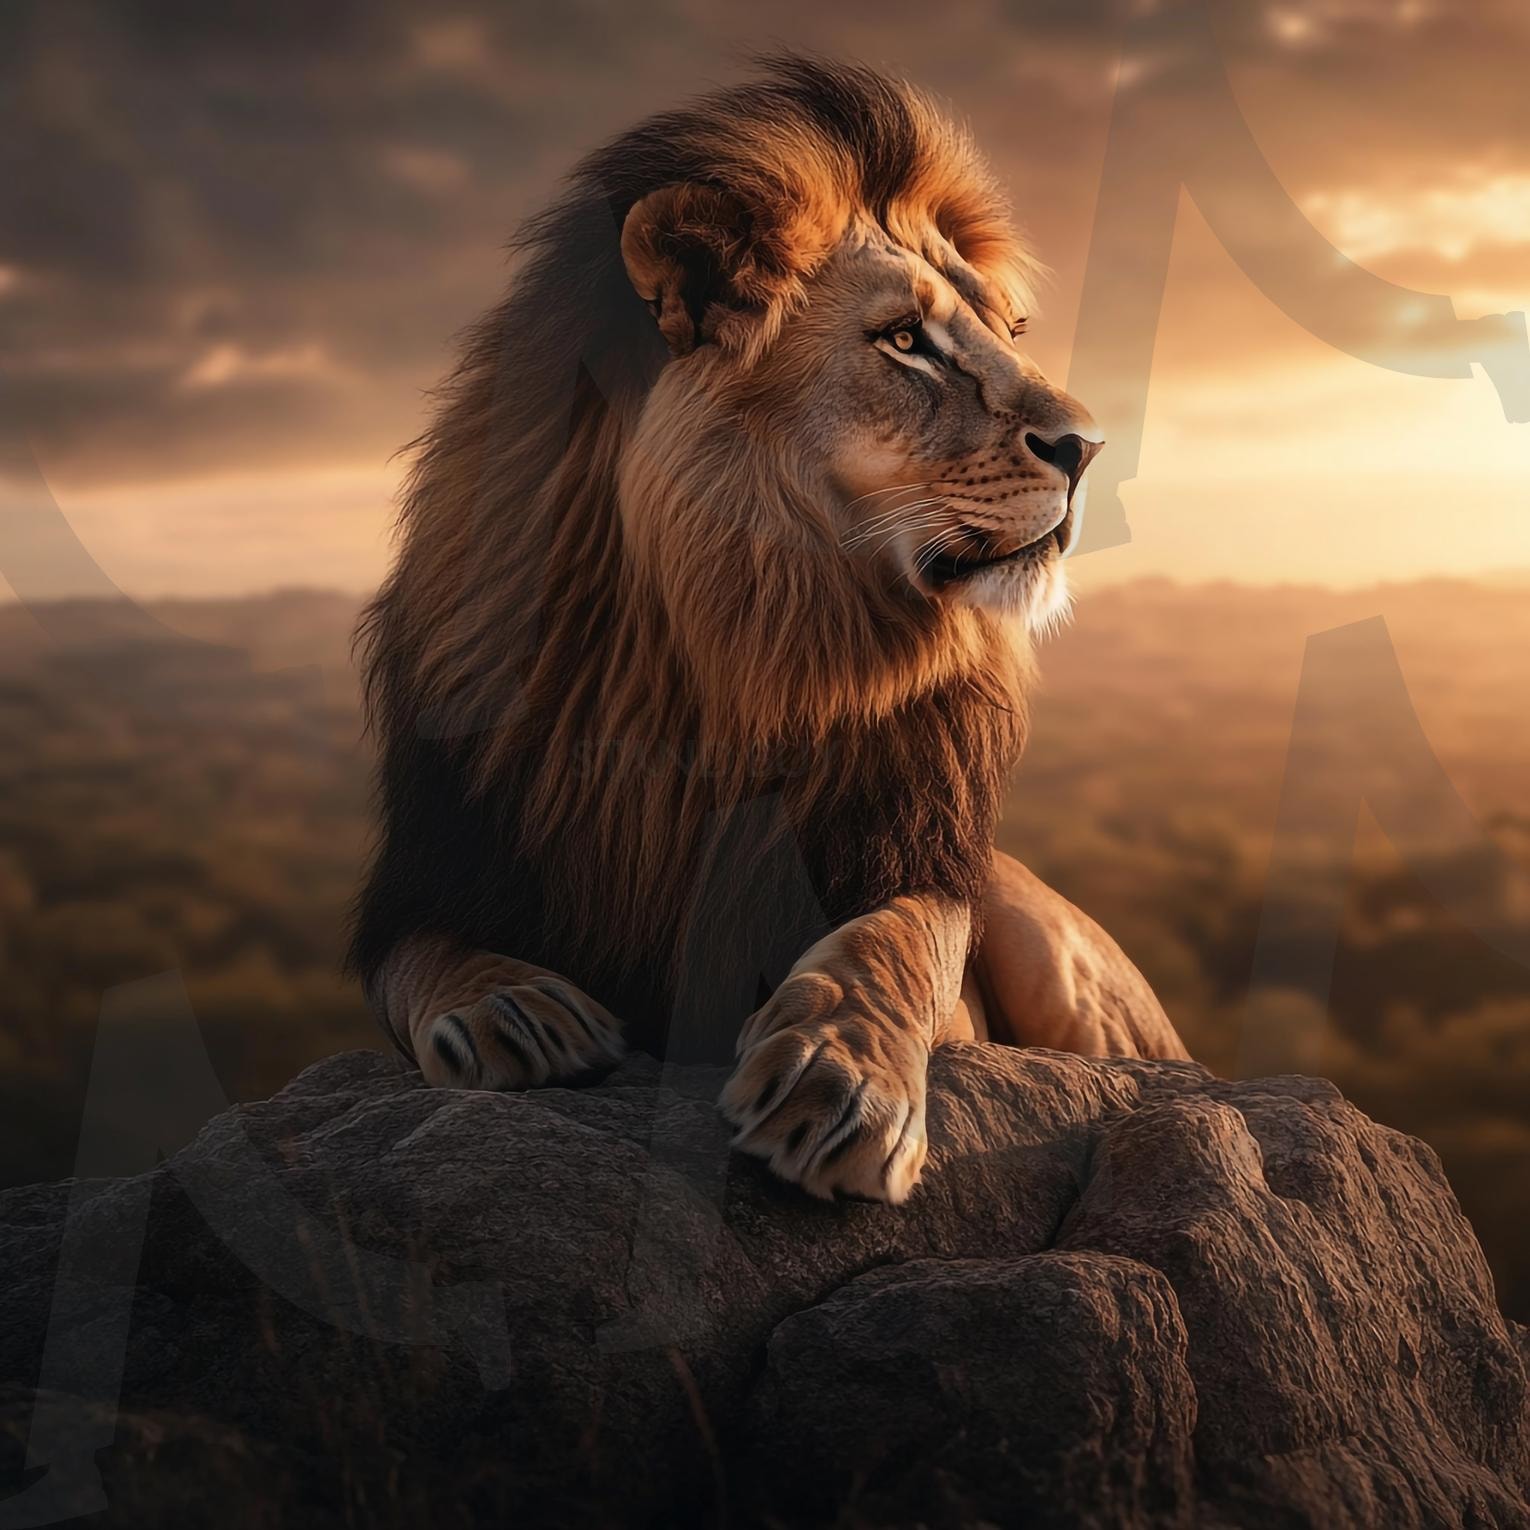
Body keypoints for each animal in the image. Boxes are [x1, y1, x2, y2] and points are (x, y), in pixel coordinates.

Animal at [349, 54, 1188, 1205]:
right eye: (904, 341)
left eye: (1007, 334)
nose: (1089, 446)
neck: (744, 653)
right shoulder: (431, 868)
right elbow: (421, 958)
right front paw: (509, 1009)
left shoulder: (917, 857)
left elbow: (897, 941)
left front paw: (838, 1077)